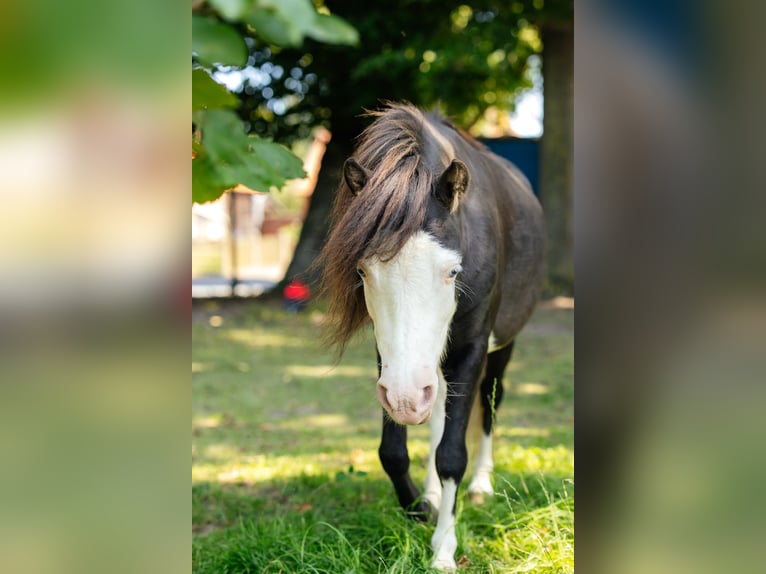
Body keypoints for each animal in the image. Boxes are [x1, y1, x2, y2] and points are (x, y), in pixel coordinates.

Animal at [318, 103, 545, 570]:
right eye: (362, 271)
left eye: (453, 271)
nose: (406, 399)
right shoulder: (390, 361)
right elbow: (394, 451)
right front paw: (421, 509)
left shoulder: (470, 349)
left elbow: (452, 454)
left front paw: (443, 548)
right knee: (438, 411)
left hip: (497, 348)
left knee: (491, 401)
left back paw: (480, 486)